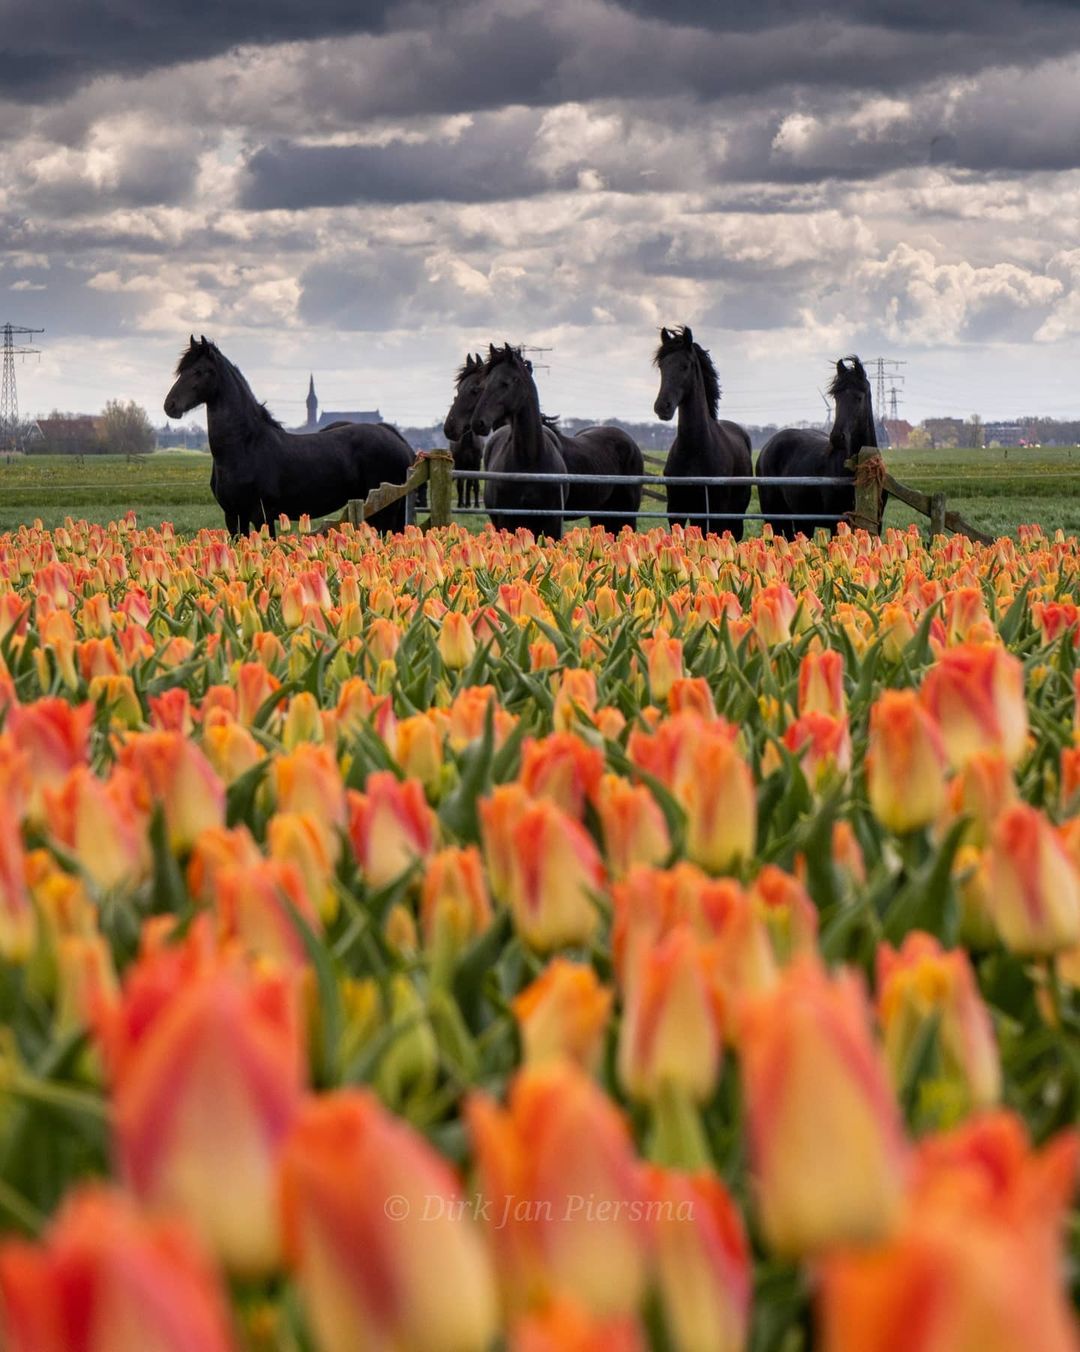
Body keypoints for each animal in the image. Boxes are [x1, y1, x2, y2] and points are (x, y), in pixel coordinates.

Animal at [164, 335, 413, 535]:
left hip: (384, 512)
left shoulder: (261, 515)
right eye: (181, 371)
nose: (170, 406)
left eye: (199, 371)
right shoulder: (234, 515)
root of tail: (395, 438)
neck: (245, 447)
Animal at [654, 325, 756, 538]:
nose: (662, 407)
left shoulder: (717, 511)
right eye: (661, 366)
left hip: (736, 514)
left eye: (685, 366)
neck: (696, 449)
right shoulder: (676, 510)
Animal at [756, 356, 881, 540]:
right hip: (774, 515)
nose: (837, 438)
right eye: (836, 397)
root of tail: (767, 446)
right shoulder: (837, 523)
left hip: (801, 520)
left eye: (859, 397)